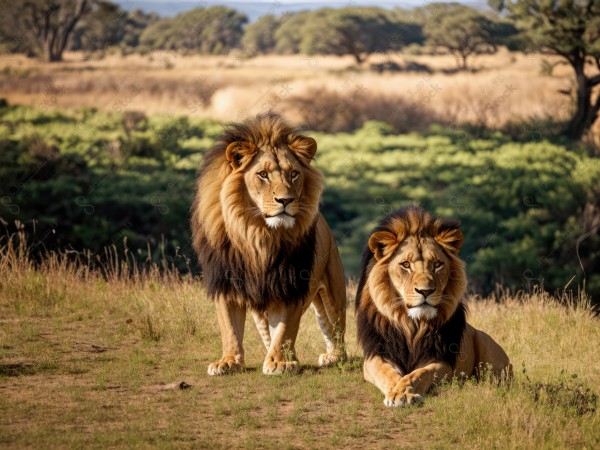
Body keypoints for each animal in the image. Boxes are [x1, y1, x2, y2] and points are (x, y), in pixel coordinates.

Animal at [192, 113, 346, 376]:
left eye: (293, 174)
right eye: (262, 174)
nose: (285, 200)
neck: (258, 235)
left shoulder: (291, 284)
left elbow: (285, 329)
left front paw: (281, 362)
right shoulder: (225, 280)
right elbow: (229, 328)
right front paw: (228, 361)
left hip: (333, 292)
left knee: (336, 329)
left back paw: (333, 357)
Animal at [356, 206, 510, 406]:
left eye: (437, 264)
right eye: (405, 264)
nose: (425, 291)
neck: (412, 325)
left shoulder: (441, 361)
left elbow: (419, 374)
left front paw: (403, 392)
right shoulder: (376, 355)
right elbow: (388, 373)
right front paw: (396, 392)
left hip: (486, 344)